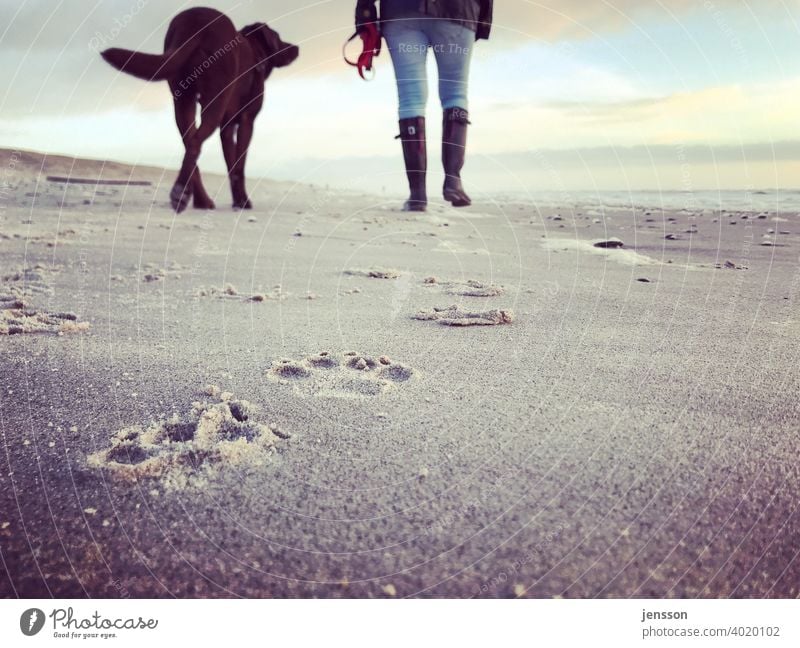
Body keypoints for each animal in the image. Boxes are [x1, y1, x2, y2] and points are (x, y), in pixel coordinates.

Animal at [100, 6, 298, 213]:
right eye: (278, 37)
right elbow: (239, 166)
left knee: (189, 141)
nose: (296, 48)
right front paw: (243, 201)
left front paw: (237, 200)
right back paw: (181, 192)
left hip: (183, 101)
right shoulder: (246, 121)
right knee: (195, 141)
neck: (255, 54)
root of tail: (194, 21)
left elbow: (231, 164)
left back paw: (197, 199)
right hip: (215, 99)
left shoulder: (227, 127)